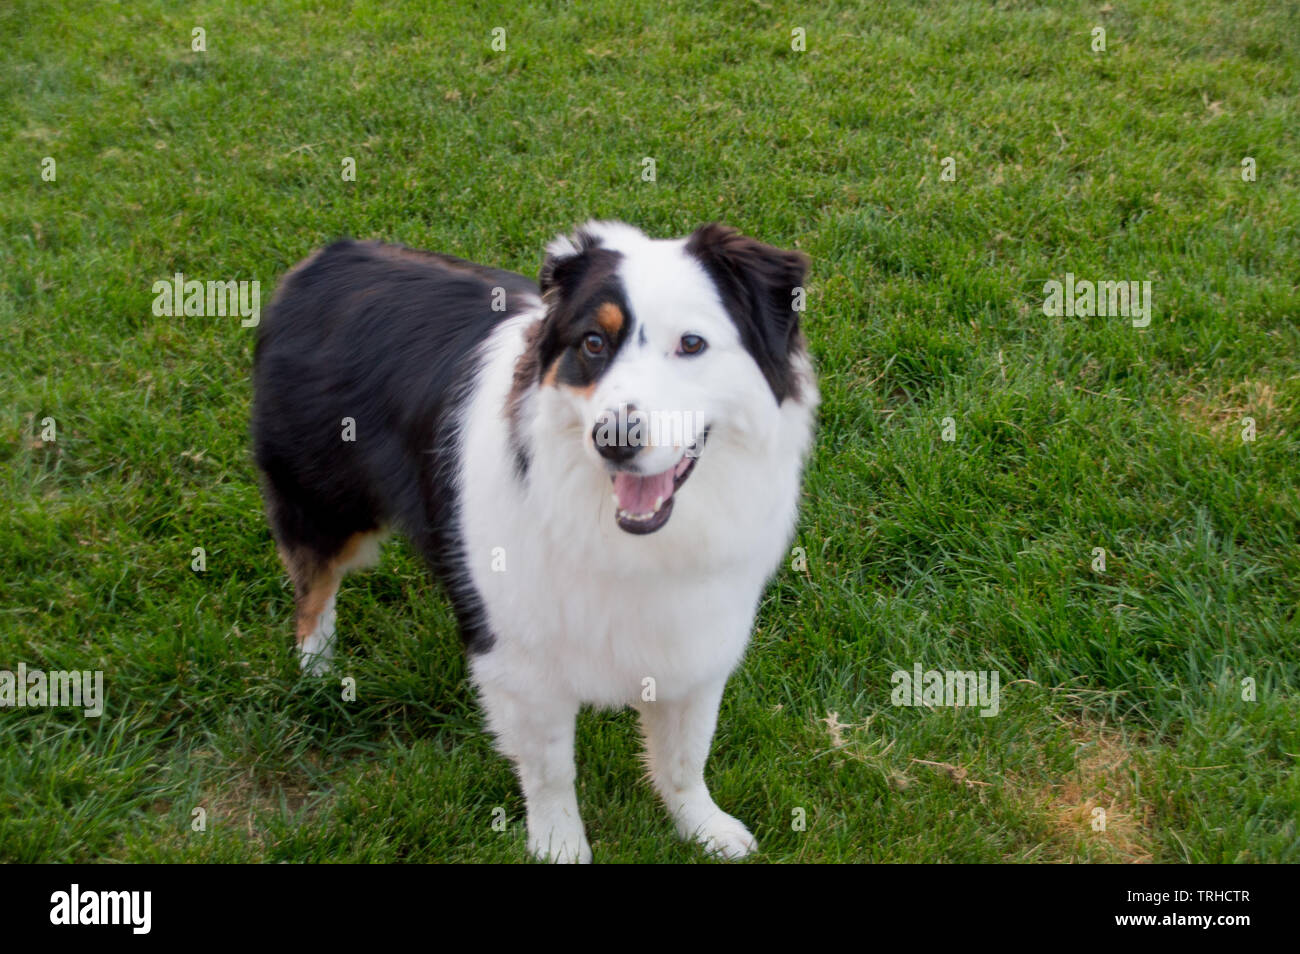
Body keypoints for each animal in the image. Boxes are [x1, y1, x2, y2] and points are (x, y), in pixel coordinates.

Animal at [249, 220, 816, 863]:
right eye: (593, 342)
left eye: (692, 344)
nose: (614, 439)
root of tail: (327, 257)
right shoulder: (519, 660)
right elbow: (550, 770)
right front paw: (558, 845)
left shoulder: (698, 644)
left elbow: (685, 754)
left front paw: (703, 827)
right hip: (321, 505)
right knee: (313, 594)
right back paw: (317, 677)